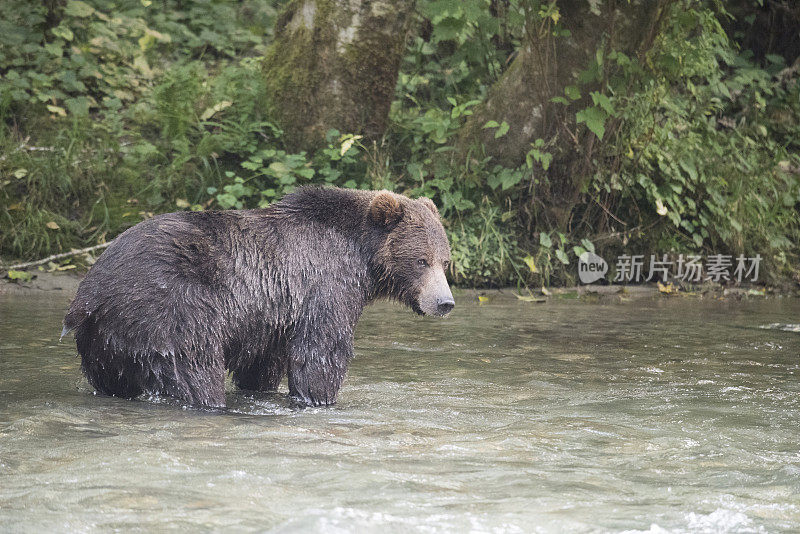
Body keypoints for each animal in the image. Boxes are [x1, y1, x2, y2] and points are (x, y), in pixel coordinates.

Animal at [61, 188, 454, 410]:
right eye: (421, 260)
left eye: (444, 260)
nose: (445, 303)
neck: (360, 253)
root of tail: (91, 290)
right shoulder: (325, 285)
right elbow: (321, 352)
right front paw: (320, 398)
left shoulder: (276, 316)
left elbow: (263, 365)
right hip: (169, 306)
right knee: (194, 366)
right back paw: (209, 400)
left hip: (103, 343)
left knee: (112, 381)